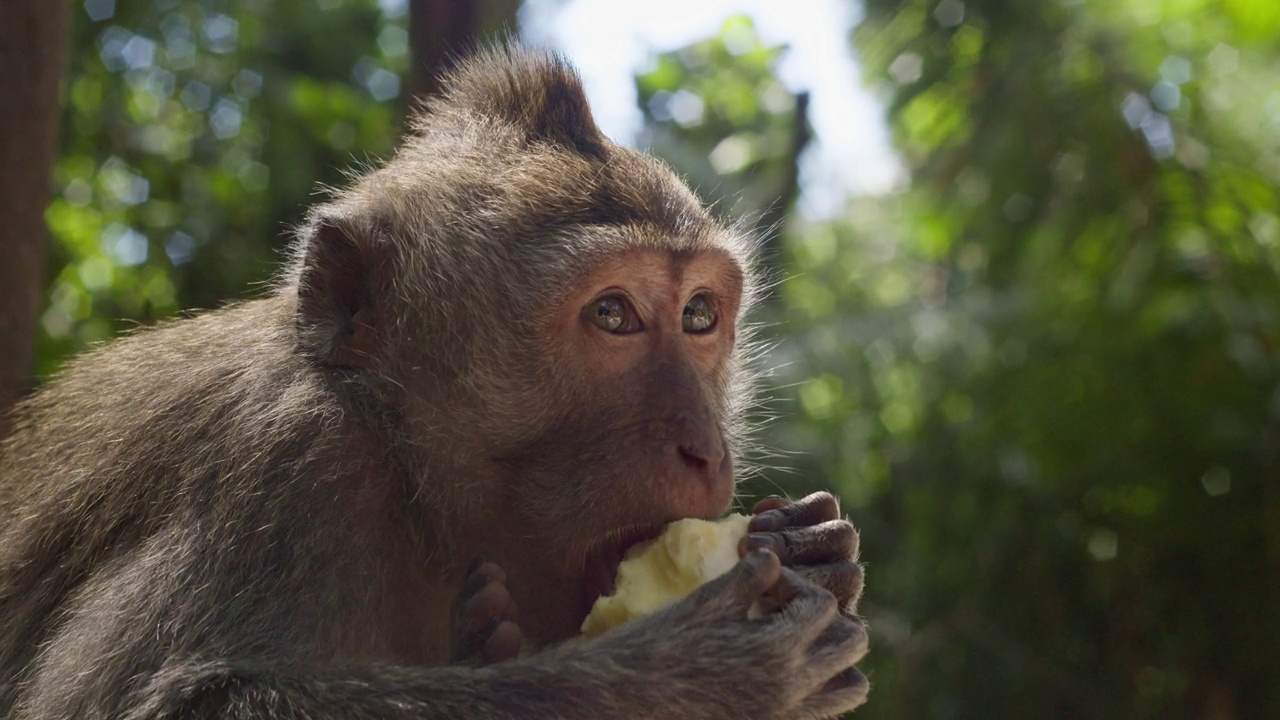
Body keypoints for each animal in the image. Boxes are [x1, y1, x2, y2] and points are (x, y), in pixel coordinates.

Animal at [0, 47, 870, 712]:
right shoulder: (281, 465)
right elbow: (167, 701)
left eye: (698, 315)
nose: (705, 449)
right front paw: (691, 677)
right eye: (613, 314)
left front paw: (812, 548)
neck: (407, 476)